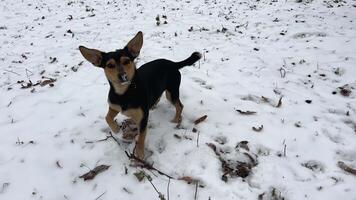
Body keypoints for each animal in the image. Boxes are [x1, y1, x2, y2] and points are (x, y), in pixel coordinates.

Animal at [79, 31, 200, 159]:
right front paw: (116, 130)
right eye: (110, 65)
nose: (123, 76)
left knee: (180, 106)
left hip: (171, 92)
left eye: (127, 61)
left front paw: (140, 154)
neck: (124, 93)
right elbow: (107, 117)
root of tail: (173, 63)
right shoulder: (114, 106)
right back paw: (153, 105)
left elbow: (141, 137)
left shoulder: (143, 119)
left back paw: (175, 120)